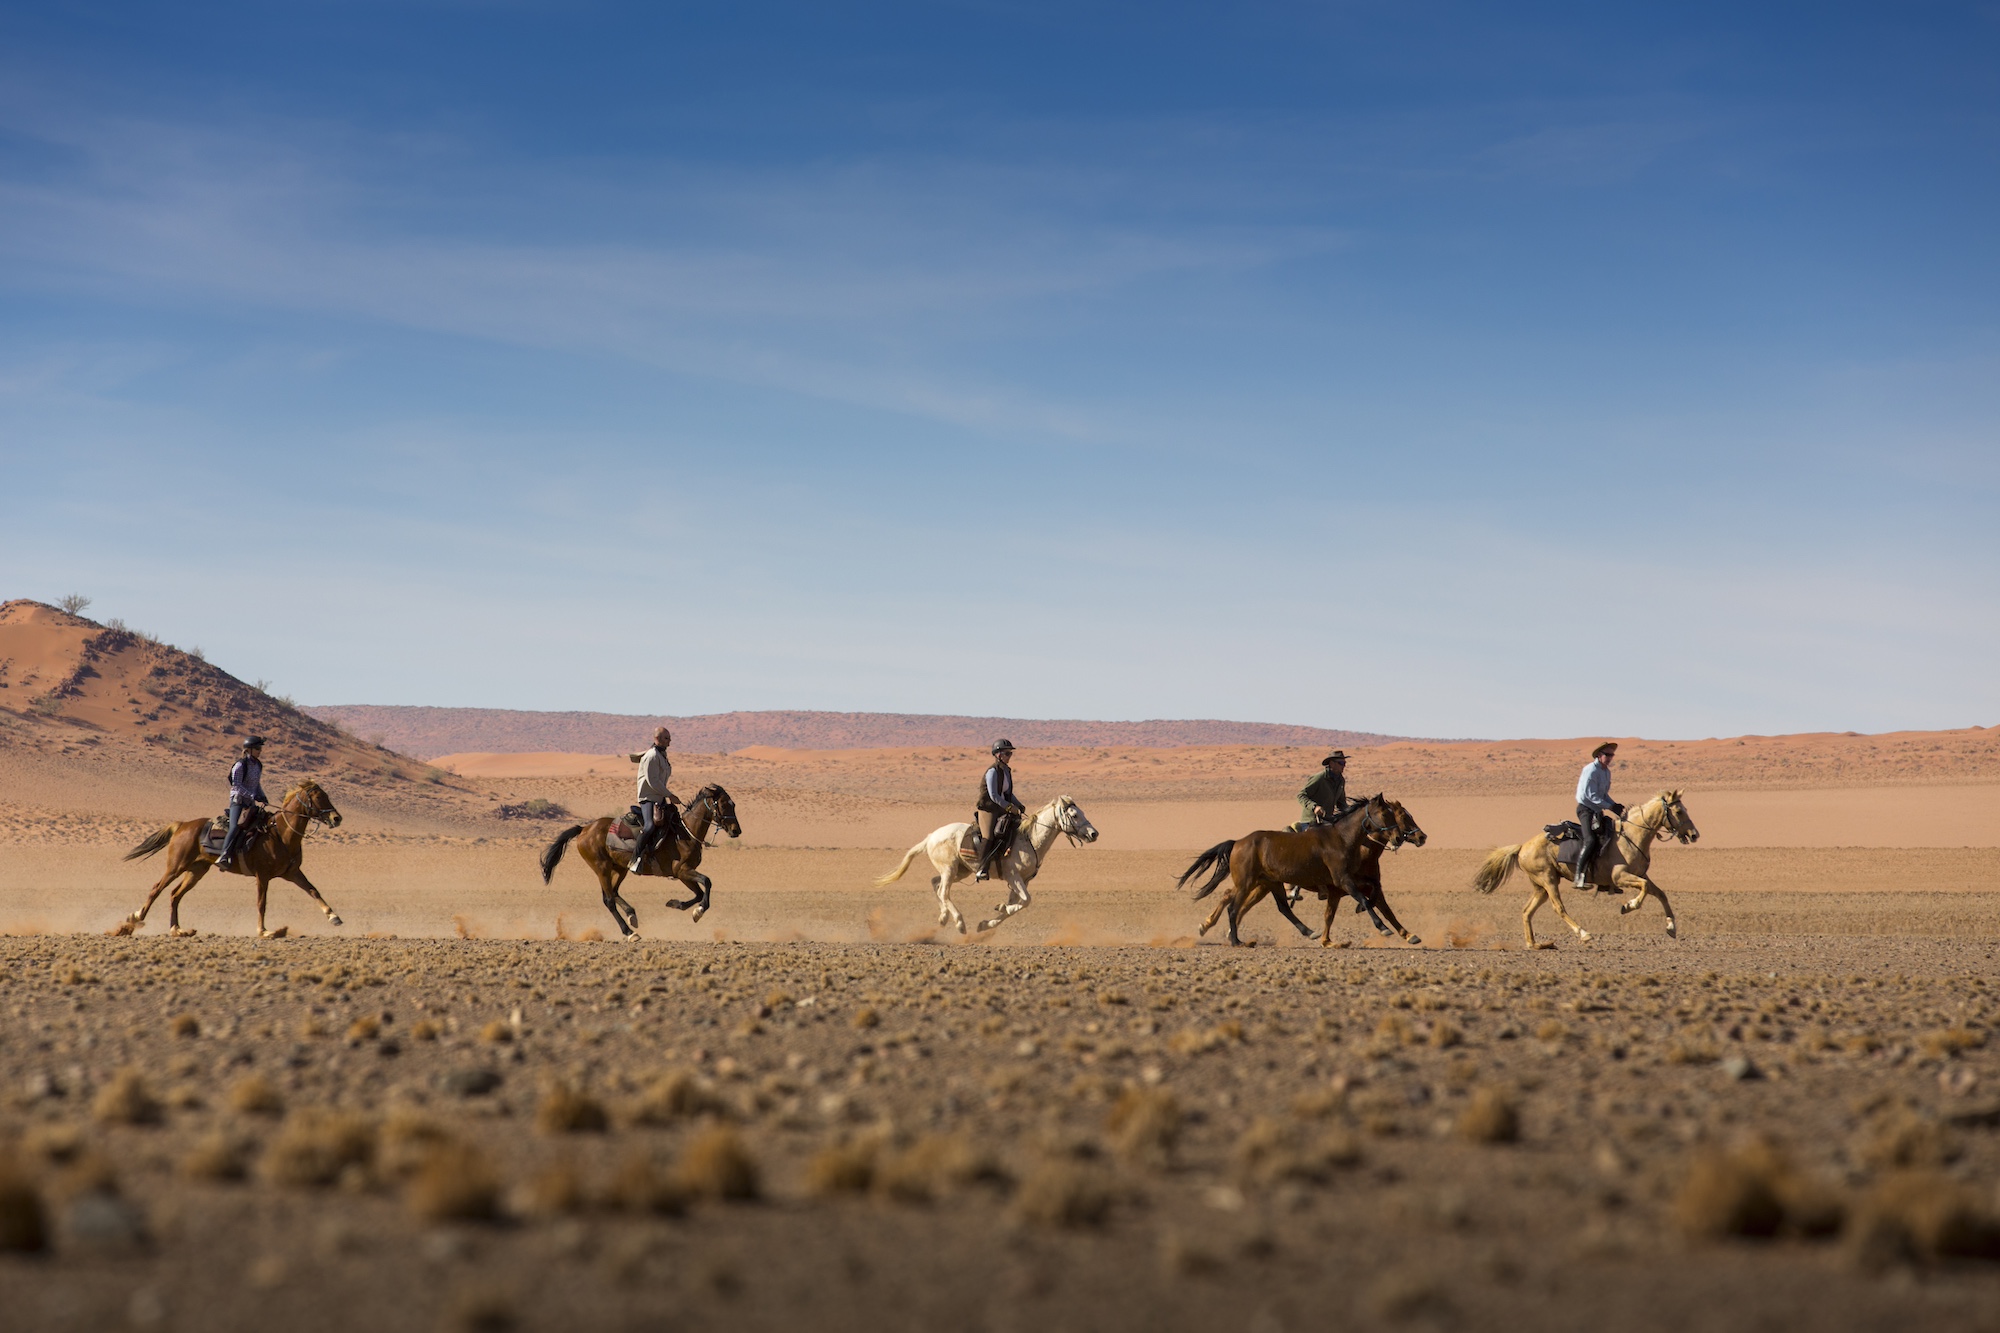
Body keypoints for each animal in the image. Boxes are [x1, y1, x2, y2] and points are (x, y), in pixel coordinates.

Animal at [111, 780, 346, 932]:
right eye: (319, 797)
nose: (337, 818)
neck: (281, 834)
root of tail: (182, 825)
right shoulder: (262, 875)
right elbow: (262, 902)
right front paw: (263, 931)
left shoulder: (292, 872)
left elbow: (313, 891)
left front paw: (334, 917)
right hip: (176, 866)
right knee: (156, 889)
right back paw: (135, 918)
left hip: (196, 871)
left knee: (175, 895)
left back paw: (177, 929)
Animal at [540, 780, 744, 932]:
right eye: (723, 804)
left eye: (733, 804)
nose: (736, 831)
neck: (686, 832)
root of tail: (584, 829)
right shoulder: (682, 870)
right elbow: (707, 882)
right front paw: (699, 911)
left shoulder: (682, 874)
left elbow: (699, 892)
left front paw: (676, 904)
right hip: (601, 868)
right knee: (608, 900)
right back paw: (629, 932)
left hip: (619, 869)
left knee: (614, 893)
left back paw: (632, 915)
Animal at [872, 792, 1104, 928]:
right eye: (1074, 815)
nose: (1094, 834)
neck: (1029, 839)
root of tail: (931, 837)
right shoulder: (1013, 876)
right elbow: (1025, 901)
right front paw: (1001, 908)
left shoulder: (1022, 881)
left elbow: (1019, 904)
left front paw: (988, 922)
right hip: (949, 869)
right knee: (943, 891)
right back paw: (958, 922)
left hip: (960, 871)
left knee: (935, 884)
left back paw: (944, 917)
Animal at [1464, 788, 1696, 944]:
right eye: (1679, 812)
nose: (1694, 834)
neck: (1632, 836)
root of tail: (1522, 847)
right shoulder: (1620, 876)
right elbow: (1645, 891)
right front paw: (1628, 906)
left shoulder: (1641, 875)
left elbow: (1660, 893)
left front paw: (1671, 927)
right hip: (1548, 881)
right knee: (1558, 907)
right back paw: (1583, 933)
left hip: (1540, 886)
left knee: (1526, 911)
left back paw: (1533, 944)